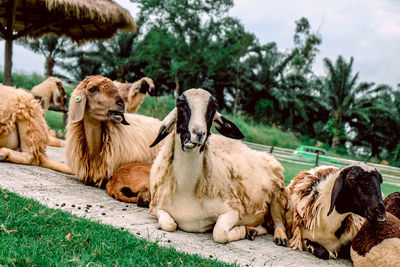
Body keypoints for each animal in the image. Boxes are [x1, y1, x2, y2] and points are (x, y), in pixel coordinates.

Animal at [148, 89, 290, 246]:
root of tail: (263, 153)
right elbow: (169, 224)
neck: (186, 190)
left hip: (277, 195)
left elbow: (220, 233)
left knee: (279, 222)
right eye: (180, 103)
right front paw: (247, 230)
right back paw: (253, 230)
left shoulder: (232, 211)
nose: (198, 133)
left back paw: (279, 237)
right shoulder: (156, 207)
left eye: (213, 108)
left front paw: (243, 230)